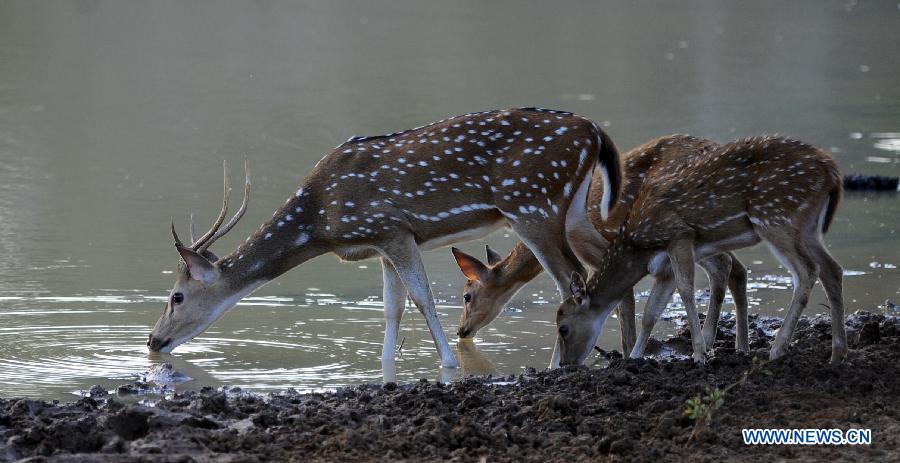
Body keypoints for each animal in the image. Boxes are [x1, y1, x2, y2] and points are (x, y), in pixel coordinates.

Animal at [151, 107, 624, 372]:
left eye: (176, 296)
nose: (153, 340)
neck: (321, 222)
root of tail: (595, 132)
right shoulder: (379, 245)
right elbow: (392, 307)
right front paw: (386, 365)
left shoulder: (393, 229)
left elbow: (422, 297)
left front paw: (448, 364)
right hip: (574, 211)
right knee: (612, 257)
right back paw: (628, 351)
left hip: (532, 204)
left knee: (571, 279)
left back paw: (557, 365)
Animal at [450, 136, 752, 358]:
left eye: (467, 295)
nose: (461, 330)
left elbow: (621, 301)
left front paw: (627, 354)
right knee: (736, 267)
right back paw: (736, 346)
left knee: (725, 265)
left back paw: (714, 343)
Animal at [556, 136, 844, 368]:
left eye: (563, 328)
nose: (567, 364)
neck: (637, 246)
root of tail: (833, 172)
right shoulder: (664, 266)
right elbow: (651, 311)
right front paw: (636, 358)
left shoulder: (679, 235)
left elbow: (686, 291)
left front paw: (699, 354)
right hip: (807, 226)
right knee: (832, 269)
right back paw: (837, 354)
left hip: (776, 216)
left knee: (807, 271)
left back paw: (777, 349)